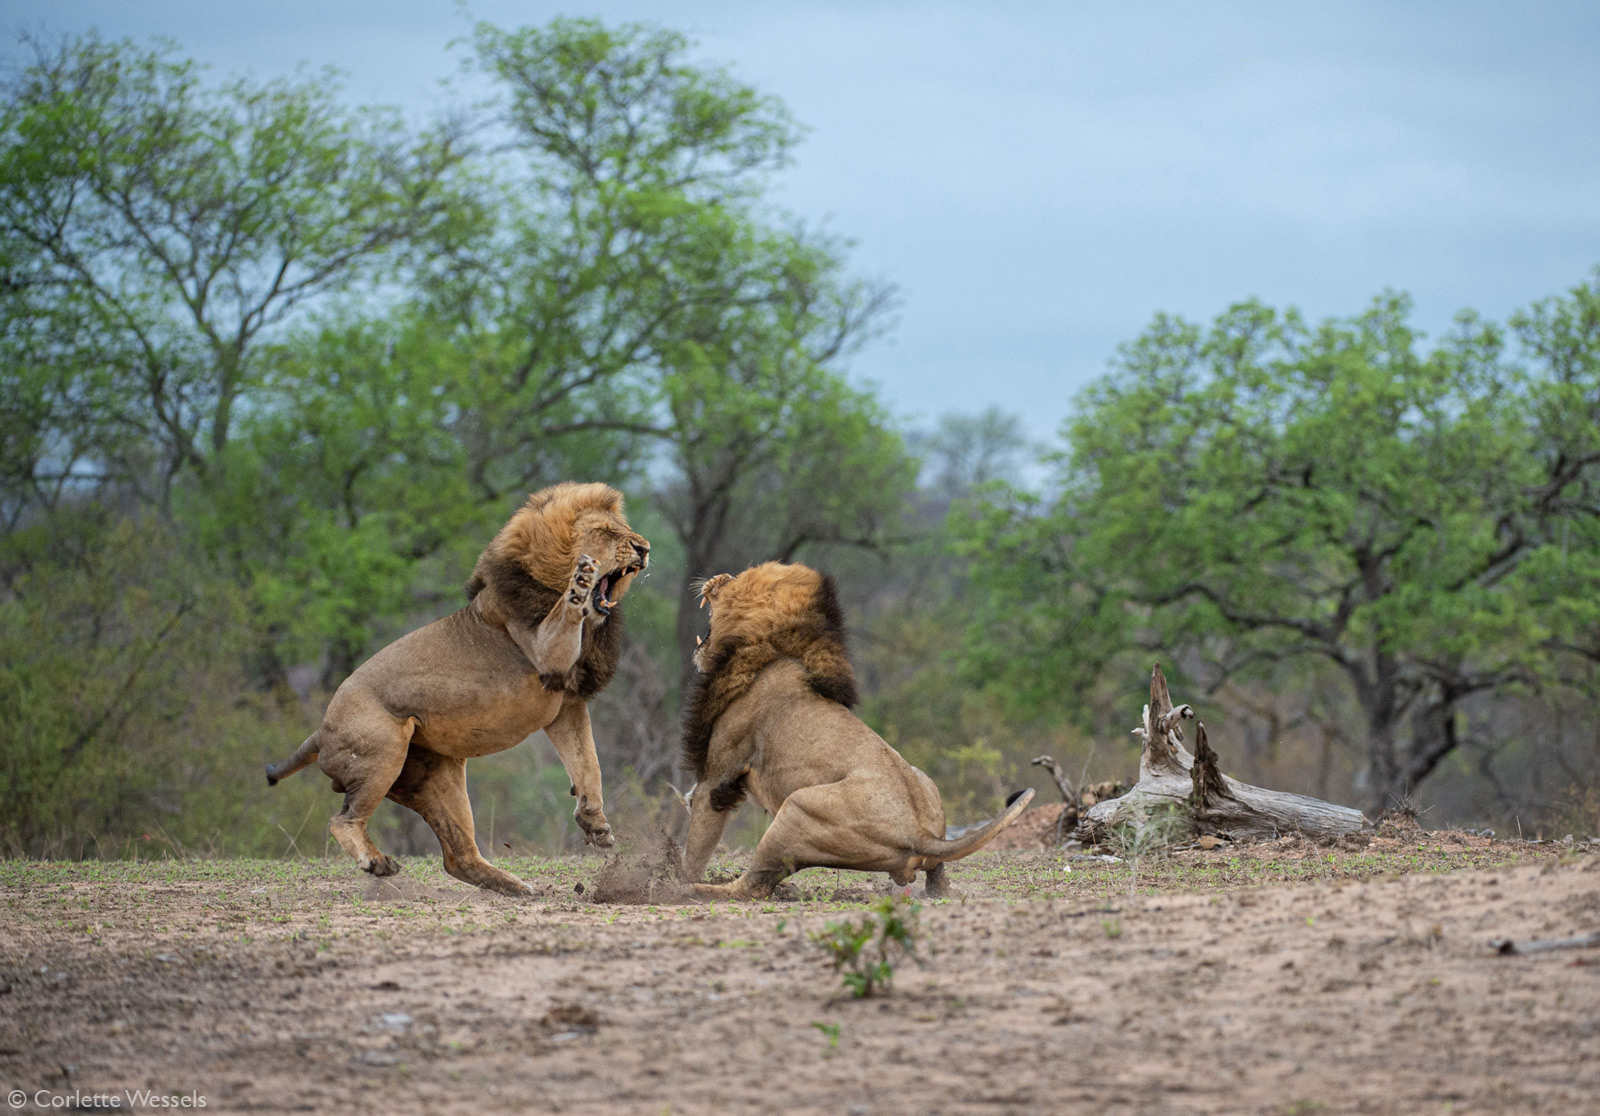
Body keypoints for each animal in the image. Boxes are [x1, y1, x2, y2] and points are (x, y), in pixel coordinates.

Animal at [268, 479, 649, 895]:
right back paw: (377, 861)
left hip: (436, 777)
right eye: (607, 532)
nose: (644, 548)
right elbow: (565, 613)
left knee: (457, 858)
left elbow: (588, 763)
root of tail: (320, 731)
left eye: (624, 529)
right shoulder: (544, 652)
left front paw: (596, 824)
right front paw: (579, 583)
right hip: (384, 751)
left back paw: (514, 886)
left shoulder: (566, 705)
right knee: (343, 820)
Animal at [678, 559, 1036, 901]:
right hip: (922, 783)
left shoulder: (720, 777)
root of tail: (921, 835)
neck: (767, 648)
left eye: (736, 579)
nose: (717, 577)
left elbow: (697, 845)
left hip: (798, 807)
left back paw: (695, 891)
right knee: (938, 877)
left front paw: (675, 879)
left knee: (752, 887)